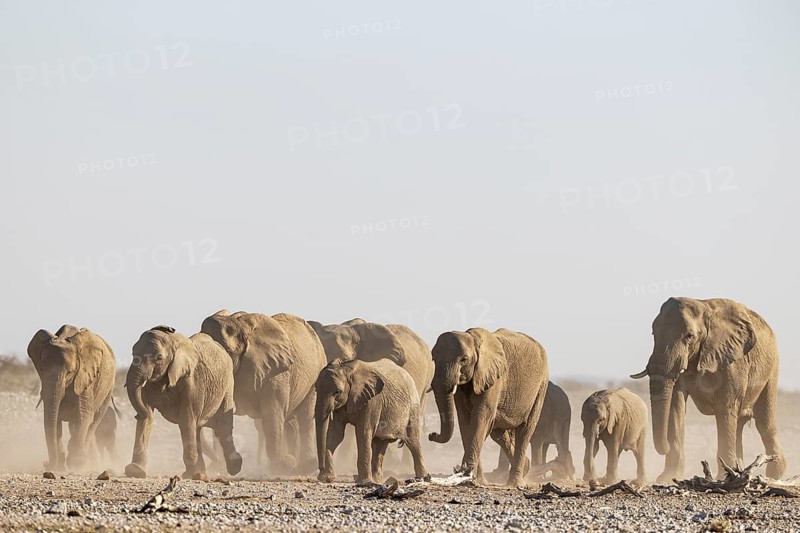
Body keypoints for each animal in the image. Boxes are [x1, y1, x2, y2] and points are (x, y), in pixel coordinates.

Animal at [27, 325, 116, 470]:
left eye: (70, 372)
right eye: (42, 369)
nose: (46, 463)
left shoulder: (84, 378)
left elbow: (83, 415)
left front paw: (75, 464)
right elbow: (55, 418)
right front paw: (60, 467)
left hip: (108, 389)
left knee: (93, 422)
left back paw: (84, 461)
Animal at [124, 325, 242, 479]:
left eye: (159, 358)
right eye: (133, 354)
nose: (136, 415)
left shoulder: (191, 382)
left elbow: (186, 420)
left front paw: (190, 473)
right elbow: (147, 418)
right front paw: (135, 471)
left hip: (228, 385)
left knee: (223, 425)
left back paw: (234, 467)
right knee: (198, 429)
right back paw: (200, 472)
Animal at [201, 310, 327, 474]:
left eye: (227, 352)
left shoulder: (275, 372)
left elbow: (272, 412)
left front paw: (284, 464)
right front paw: (285, 464)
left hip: (315, 376)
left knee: (305, 417)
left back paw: (304, 466)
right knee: (290, 422)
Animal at [428, 327, 549, 486]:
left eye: (464, 359)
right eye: (433, 359)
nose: (431, 435)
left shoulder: (494, 378)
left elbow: (480, 419)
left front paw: (466, 475)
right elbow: (465, 422)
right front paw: (475, 479)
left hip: (541, 386)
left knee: (525, 430)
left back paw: (514, 483)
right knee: (498, 434)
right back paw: (526, 467)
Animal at [631, 297, 787, 481]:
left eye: (689, 336)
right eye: (653, 333)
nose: (665, 445)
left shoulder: (732, 361)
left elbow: (725, 408)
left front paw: (723, 478)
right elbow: (676, 405)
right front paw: (668, 478)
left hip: (772, 366)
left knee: (764, 422)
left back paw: (774, 474)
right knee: (740, 424)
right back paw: (741, 471)